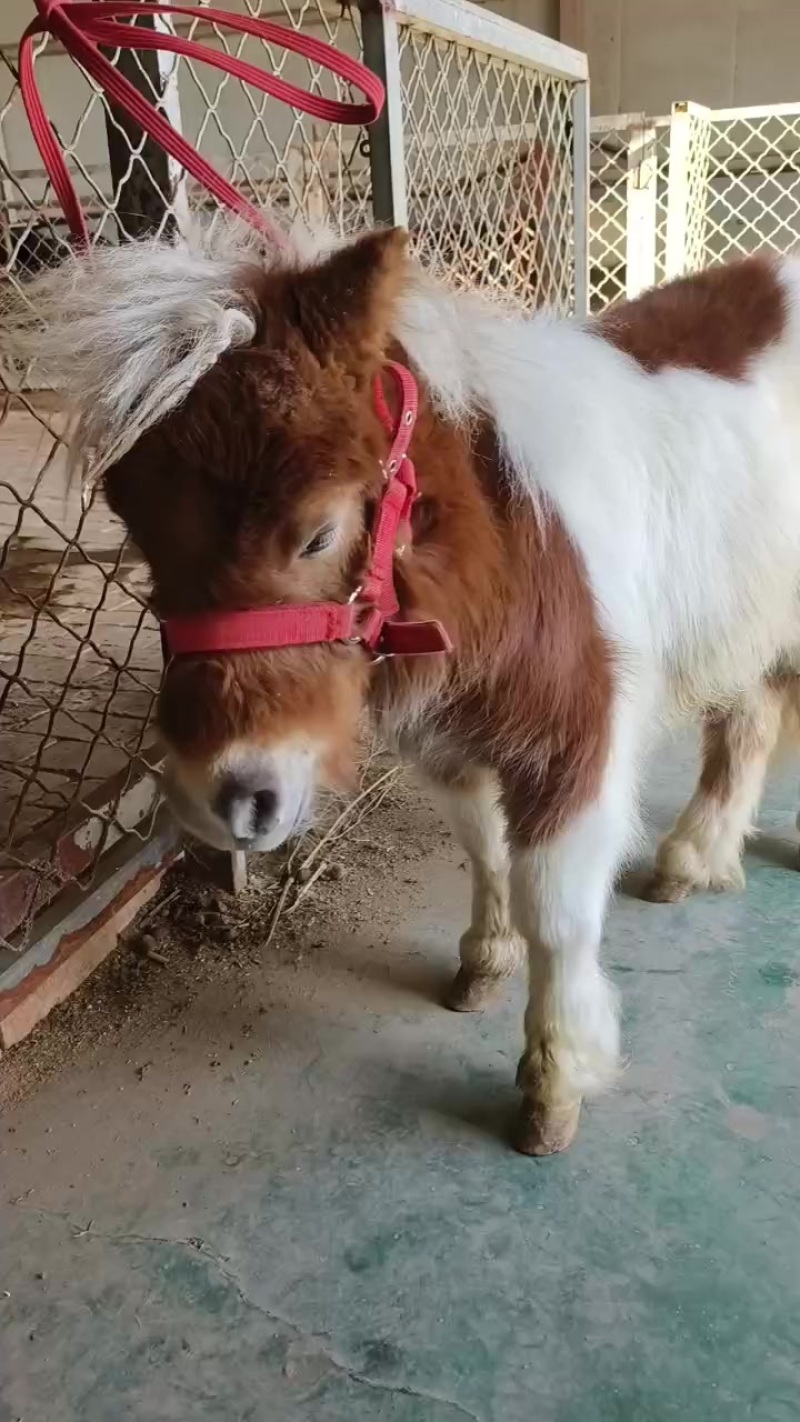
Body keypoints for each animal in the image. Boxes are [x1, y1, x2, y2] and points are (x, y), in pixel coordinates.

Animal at [5, 219, 800, 1155]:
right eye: (137, 530)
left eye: (318, 533)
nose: (226, 799)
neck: (509, 542)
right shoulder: (451, 740)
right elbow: (486, 850)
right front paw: (483, 963)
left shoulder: (576, 745)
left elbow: (558, 912)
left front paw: (555, 1085)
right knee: (748, 726)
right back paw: (693, 860)